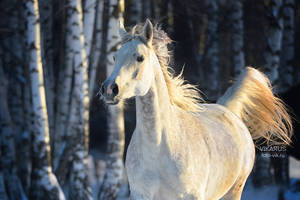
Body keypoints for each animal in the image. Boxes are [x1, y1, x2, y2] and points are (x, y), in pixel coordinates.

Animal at [99, 19, 292, 200]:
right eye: (115, 57)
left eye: (140, 57)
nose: (109, 89)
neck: (158, 149)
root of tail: (228, 110)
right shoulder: (140, 195)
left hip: (234, 191)